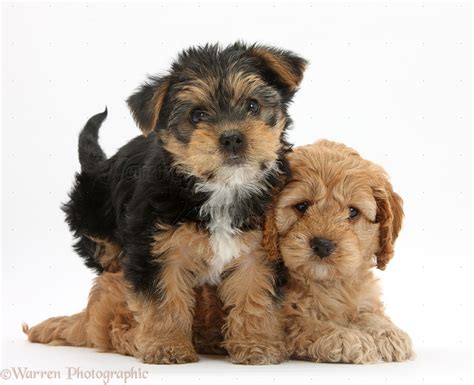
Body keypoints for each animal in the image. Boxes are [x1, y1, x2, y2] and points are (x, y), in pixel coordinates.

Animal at [25, 42, 308, 364]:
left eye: (252, 106)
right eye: (196, 116)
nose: (232, 138)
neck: (219, 188)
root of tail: (101, 166)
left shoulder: (258, 249)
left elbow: (255, 294)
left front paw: (256, 345)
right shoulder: (156, 247)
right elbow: (163, 300)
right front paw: (167, 346)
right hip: (95, 226)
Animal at [262, 140, 414, 362]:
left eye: (353, 211)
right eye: (302, 206)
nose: (323, 245)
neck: (328, 284)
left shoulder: (363, 296)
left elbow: (370, 313)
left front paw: (388, 333)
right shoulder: (286, 319)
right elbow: (311, 326)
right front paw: (348, 338)